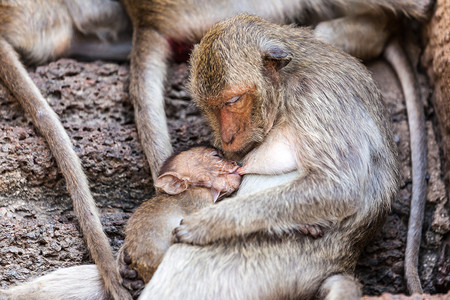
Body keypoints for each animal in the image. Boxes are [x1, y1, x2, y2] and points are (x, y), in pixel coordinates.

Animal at [138, 14, 400, 300]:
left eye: (233, 101)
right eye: (211, 106)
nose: (227, 137)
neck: (288, 85)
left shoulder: (317, 99)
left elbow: (341, 188)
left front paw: (209, 223)